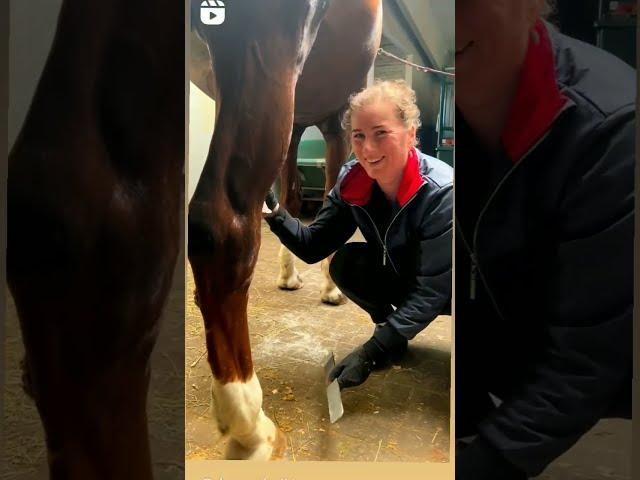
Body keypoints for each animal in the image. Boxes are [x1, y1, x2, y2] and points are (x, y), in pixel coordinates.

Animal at [188, 0, 382, 460]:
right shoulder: (339, 113)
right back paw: (249, 425)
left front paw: (289, 275)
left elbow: (292, 197)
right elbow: (333, 193)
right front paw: (330, 288)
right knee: (219, 221)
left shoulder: (298, 121)